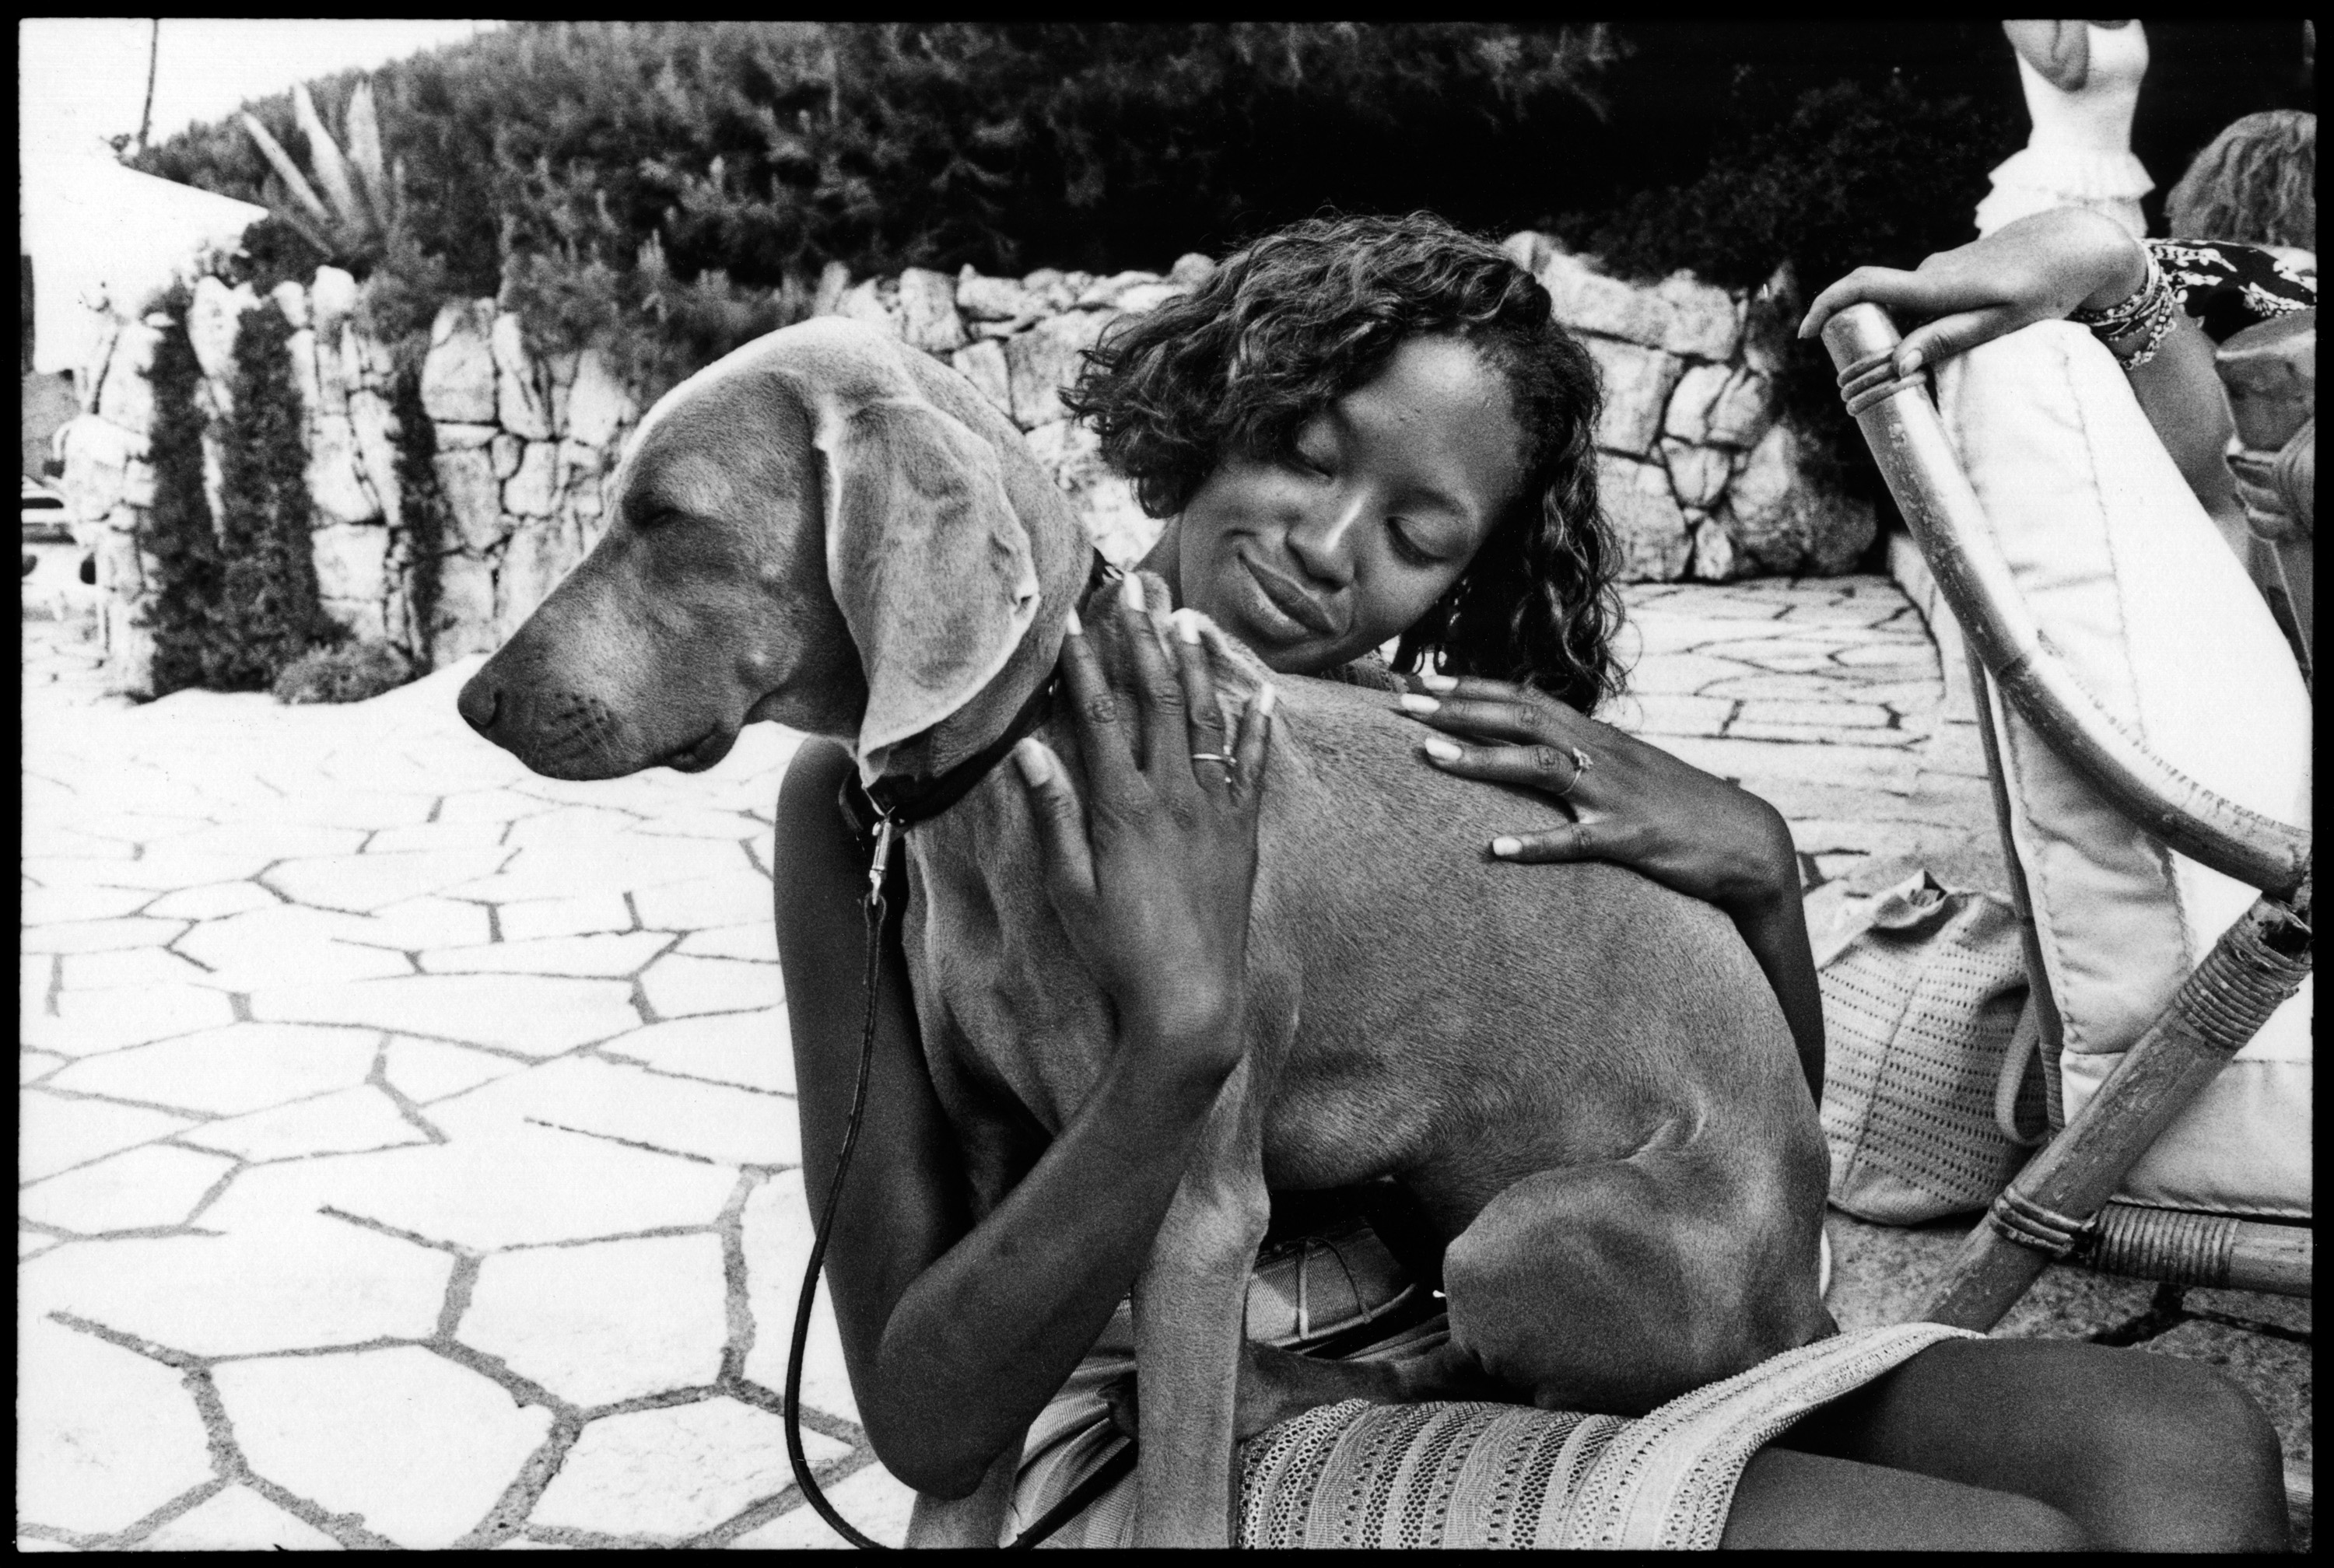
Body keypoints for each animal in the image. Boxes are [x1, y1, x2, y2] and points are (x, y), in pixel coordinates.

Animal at [460, 315, 1839, 1540]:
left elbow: (1178, 1504)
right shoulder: (999, 1194)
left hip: (1529, 1233)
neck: (1024, 766)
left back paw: (1279, 1387)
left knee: (1497, 1364)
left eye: (666, 520)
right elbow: (954, 1477)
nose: (475, 701)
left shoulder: (1194, 1213)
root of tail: (1807, 1293)